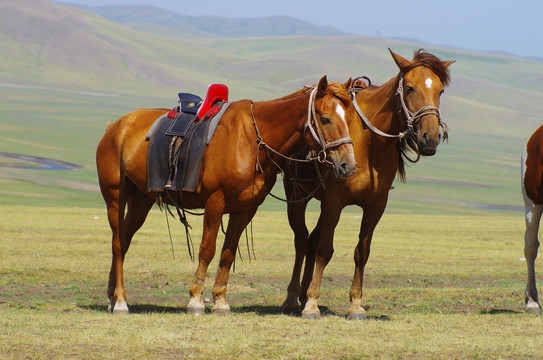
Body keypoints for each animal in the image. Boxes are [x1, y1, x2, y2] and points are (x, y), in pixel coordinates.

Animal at [95, 76, 360, 316]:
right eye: (325, 119)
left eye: (349, 119)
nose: (348, 165)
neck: (253, 139)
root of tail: (114, 127)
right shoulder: (215, 202)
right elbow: (207, 250)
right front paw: (196, 300)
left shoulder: (245, 210)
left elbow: (228, 252)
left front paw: (220, 301)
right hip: (115, 197)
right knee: (117, 244)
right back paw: (121, 301)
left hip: (141, 200)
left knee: (124, 241)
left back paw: (111, 297)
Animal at [280, 49, 454, 320]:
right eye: (410, 88)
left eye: (441, 90)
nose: (431, 137)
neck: (370, 143)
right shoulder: (334, 202)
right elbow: (325, 250)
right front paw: (312, 304)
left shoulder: (376, 205)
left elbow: (361, 251)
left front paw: (355, 305)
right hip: (297, 197)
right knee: (301, 240)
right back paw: (292, 297)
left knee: (310, 240)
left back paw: (302, 293)